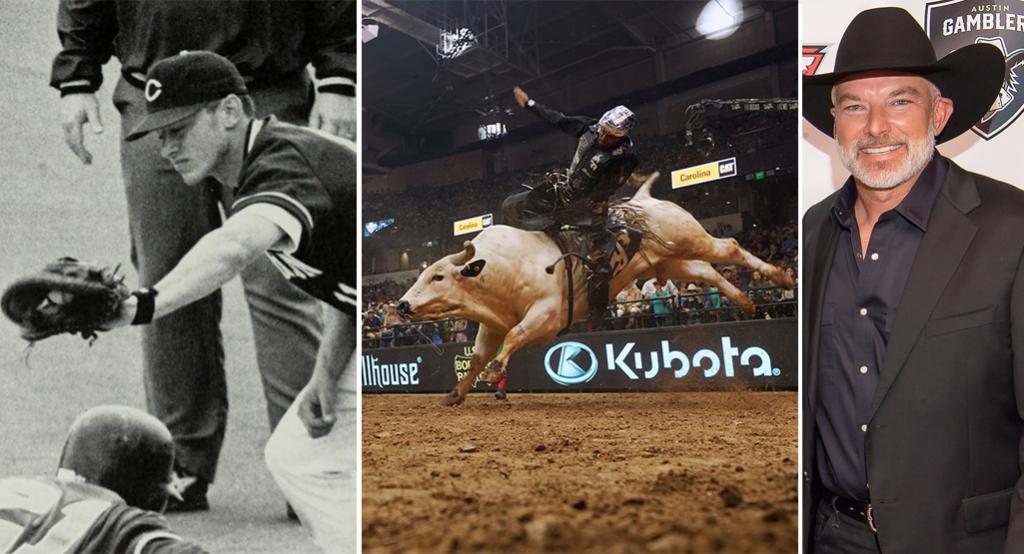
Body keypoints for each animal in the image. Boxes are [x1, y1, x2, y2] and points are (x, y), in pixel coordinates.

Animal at [395, 173, 794, 405]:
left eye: (438, 277)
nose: (401, 305)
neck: (502, 269)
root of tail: (644, 199)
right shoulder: (492, 323)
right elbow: (478, 356)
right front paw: (457, 392)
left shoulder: (548, 316)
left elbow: (515, 336)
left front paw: (496, 372)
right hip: (672, 261)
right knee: (709, 273)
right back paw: (746, 304)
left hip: (691, 238)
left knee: (730, 247)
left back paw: (781, 277)